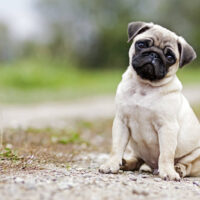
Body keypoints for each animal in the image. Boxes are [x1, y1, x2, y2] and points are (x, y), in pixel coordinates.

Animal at [99, 21, 200, 180]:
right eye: (141, 44)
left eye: (170, 56)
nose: (154, 54)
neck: (144, 86)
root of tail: (153, 167)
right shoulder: (121, 122)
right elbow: (116, 147)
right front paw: (111, 164)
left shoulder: (167, 127)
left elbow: (166, 154)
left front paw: (168, 172)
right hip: (136, 149)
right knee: (137, 160)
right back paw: (125, 163)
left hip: (196, 154)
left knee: (187, 165)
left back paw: (178, 169)